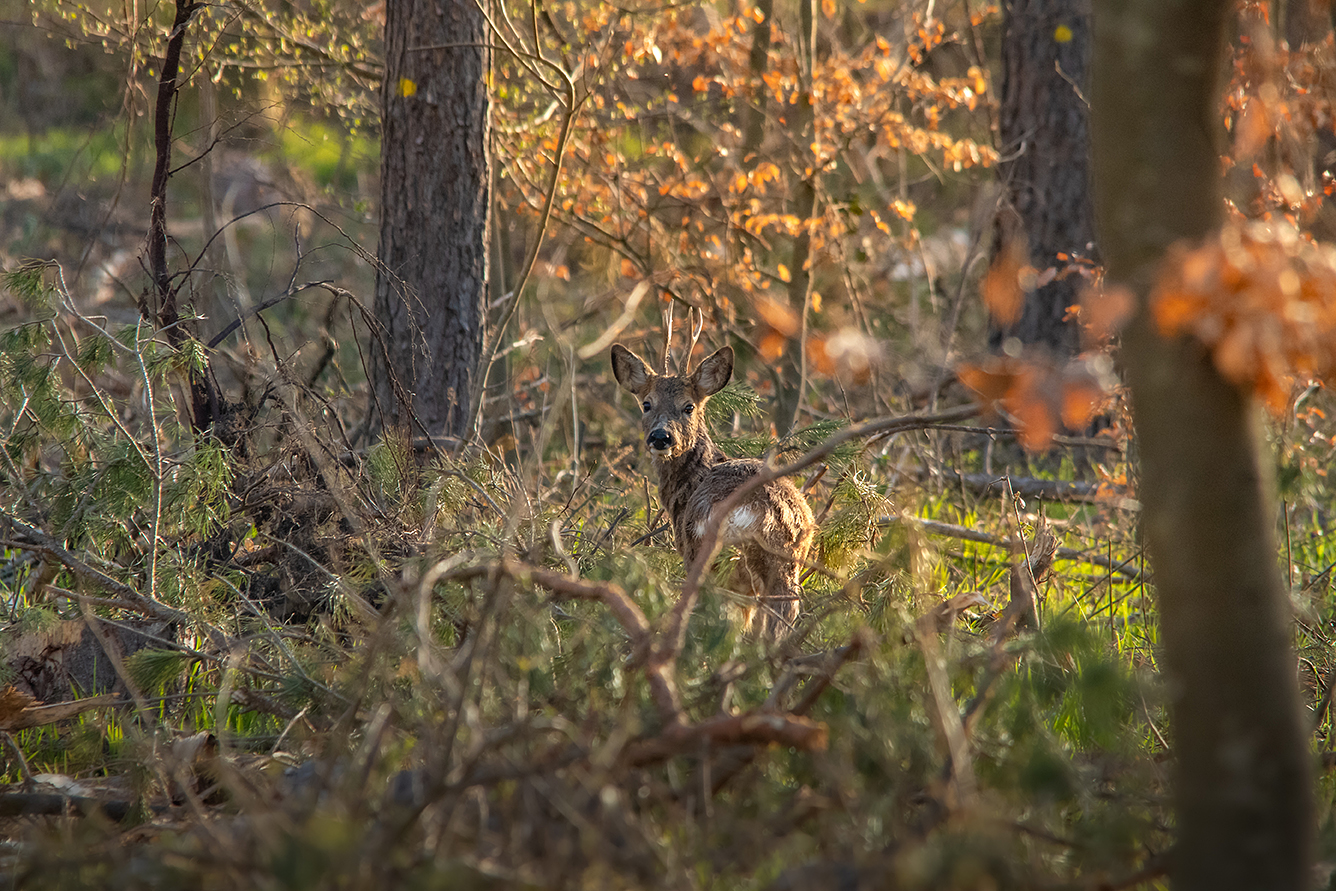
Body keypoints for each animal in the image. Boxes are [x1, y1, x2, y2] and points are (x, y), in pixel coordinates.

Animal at [611, 337, 812, 638]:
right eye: (646, 404)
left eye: (689, 406)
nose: (660, 437)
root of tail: (767, 513)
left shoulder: (689, 552)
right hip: (788, 565)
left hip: (717, 560)